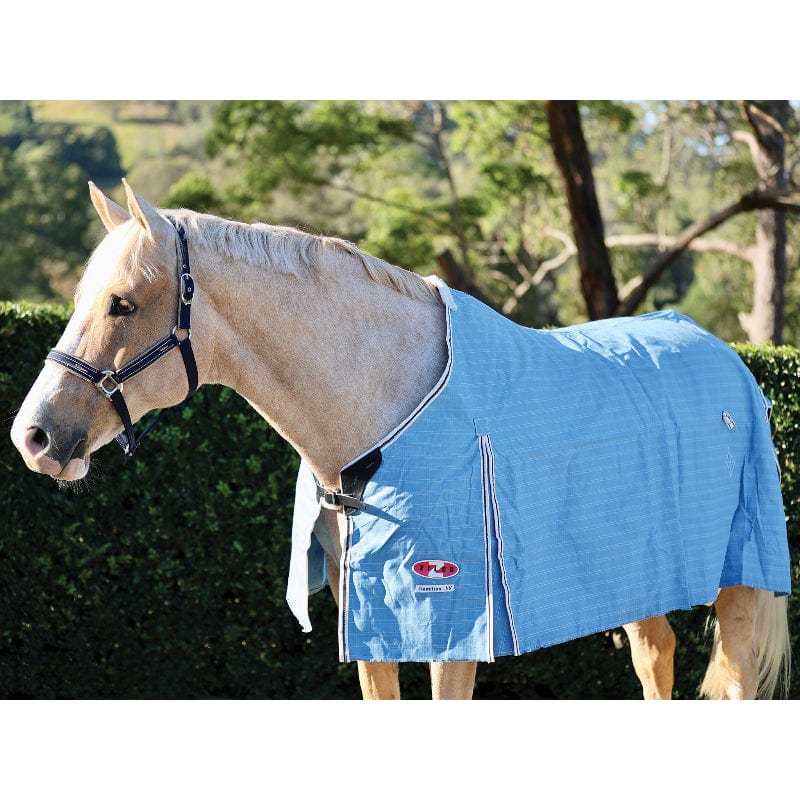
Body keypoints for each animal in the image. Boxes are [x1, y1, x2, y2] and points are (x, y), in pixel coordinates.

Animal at [11, 179, 792, 700]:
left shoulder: (452, 630)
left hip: (742, 578)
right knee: (655, 655)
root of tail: (726, 358)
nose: (35, 436)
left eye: (122, 303)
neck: (381, 421)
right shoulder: (370, 628)